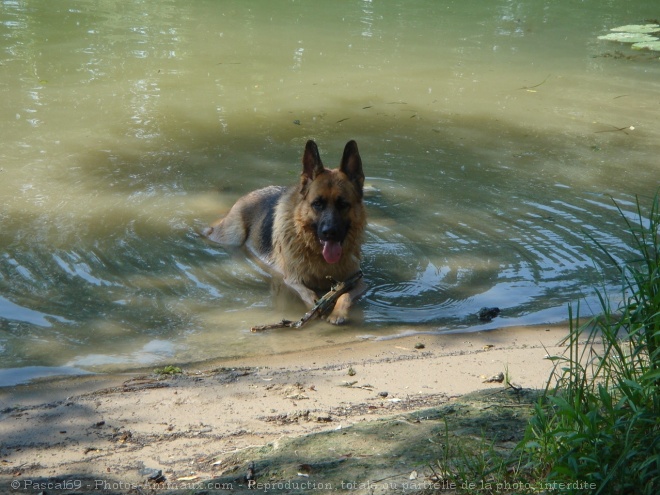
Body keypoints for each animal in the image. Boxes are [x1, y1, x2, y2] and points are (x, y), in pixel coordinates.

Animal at [201, 140, 366, 326]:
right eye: (317, 204)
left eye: (343, 204)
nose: (329, 233)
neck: (320, 259)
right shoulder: (291, 280)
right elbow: (309, 294)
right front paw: (317, 307)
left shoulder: (360, 282)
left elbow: (345, 295)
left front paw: (337, 313)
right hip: (234, 236)